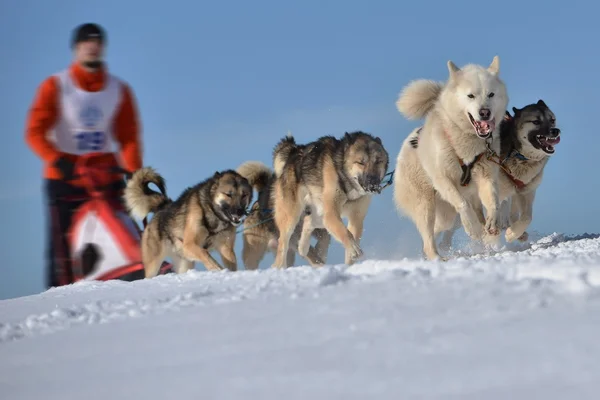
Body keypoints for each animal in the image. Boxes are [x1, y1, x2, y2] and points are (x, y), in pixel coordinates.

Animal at [123, 167, 252, 276]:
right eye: (228, 194)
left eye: (244, 195)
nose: (240, 211)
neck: (213, 213)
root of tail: (163, 206)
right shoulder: (190, 244)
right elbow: (205, 254)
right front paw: (217, 269)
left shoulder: (226, 248)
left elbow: (231, 263)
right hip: (154, 265)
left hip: (184, 263)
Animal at [270, 131, 390, 268]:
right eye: (360, 162)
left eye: (378, 161)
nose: (372, 183)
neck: (345, 179)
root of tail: (294, 151)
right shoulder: (331, 214)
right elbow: (345, 233)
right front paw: (354, 249)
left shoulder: (356, 219)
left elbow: (352, 237)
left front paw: (349, 265)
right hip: (292, 217)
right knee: (283, 242)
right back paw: (279, 266)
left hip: (320, 214)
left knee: (308, 221)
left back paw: (303, 248)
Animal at [394, 57, 510, 262]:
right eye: (471, 96)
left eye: (491, 94)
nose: (485, 112)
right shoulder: (443, 179)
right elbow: (462, 204)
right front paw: (472, 228)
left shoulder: (487, 176)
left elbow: (494, 202)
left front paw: (492, 222)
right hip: (427, 206)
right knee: (428, 237)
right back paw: (437, 258)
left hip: (448, 214)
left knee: (440, 230)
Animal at [434, 99, 560, 248]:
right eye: (536, 121)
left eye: (552, 120)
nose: (555, 131)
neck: (518, 153)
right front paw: (497, 237)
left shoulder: (526, 191)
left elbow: (527, 217)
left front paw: (512, 233)